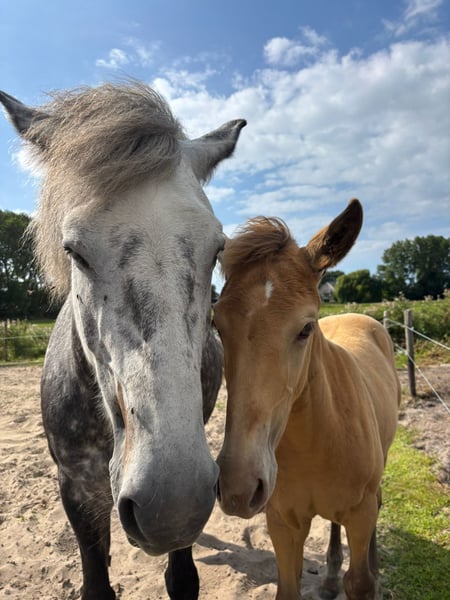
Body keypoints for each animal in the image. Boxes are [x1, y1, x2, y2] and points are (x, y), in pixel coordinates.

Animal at [213, 199, 400, 600]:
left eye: (306, 328)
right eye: (216, 324)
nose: (239, 486)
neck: (320, 438)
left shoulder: (360, 515)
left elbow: (360, 582)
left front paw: (370, 577)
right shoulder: (282, 523)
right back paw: (329, 578)